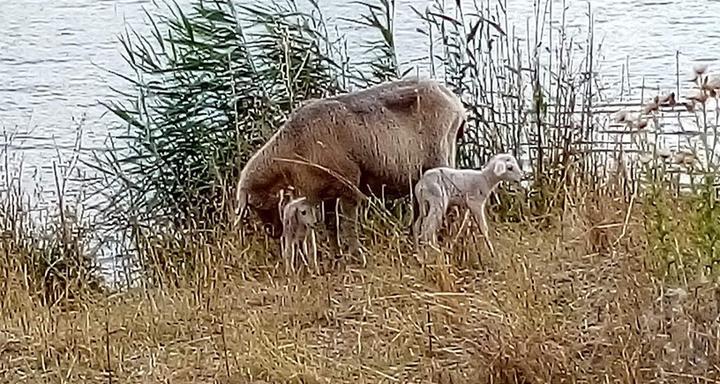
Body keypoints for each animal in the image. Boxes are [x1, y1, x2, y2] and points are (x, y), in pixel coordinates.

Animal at [233, 77, 464, 258]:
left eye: (255, 204)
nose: (274, 231)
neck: (291, 147)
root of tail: (454, 102)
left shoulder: (347, 184)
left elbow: (347, 223)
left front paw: (354, 255)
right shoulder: (322, 191)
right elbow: (330, 226)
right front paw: (336, 257)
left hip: (441, 156)